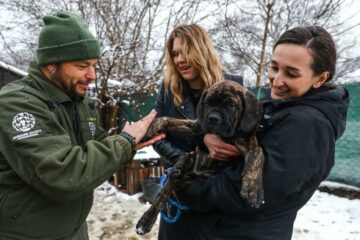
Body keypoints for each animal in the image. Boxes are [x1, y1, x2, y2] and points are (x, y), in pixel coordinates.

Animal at [135, 80, 264, 234]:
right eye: (207, 103)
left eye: (230, 105)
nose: (213, 118)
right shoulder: (197, 126)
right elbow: (168, 119)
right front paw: (150, 128)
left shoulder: (248, 141)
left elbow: (257, 153)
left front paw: (252, 187)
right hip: (188, 158)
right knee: (164, 192)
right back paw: (146, 220)